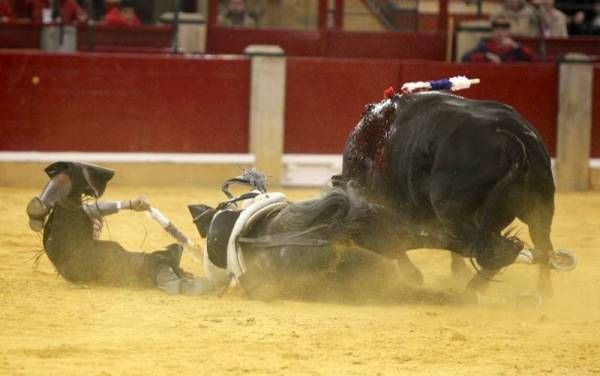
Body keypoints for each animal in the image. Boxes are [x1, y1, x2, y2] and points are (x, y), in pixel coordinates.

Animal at [336, 90, 576, 296]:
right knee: (539, 244)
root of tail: (512, 142)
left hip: (451, 210)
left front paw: (413, 275)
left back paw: (473, 288)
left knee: (489, 249)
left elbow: (394, 238)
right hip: (540, 206)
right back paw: (541, 292)